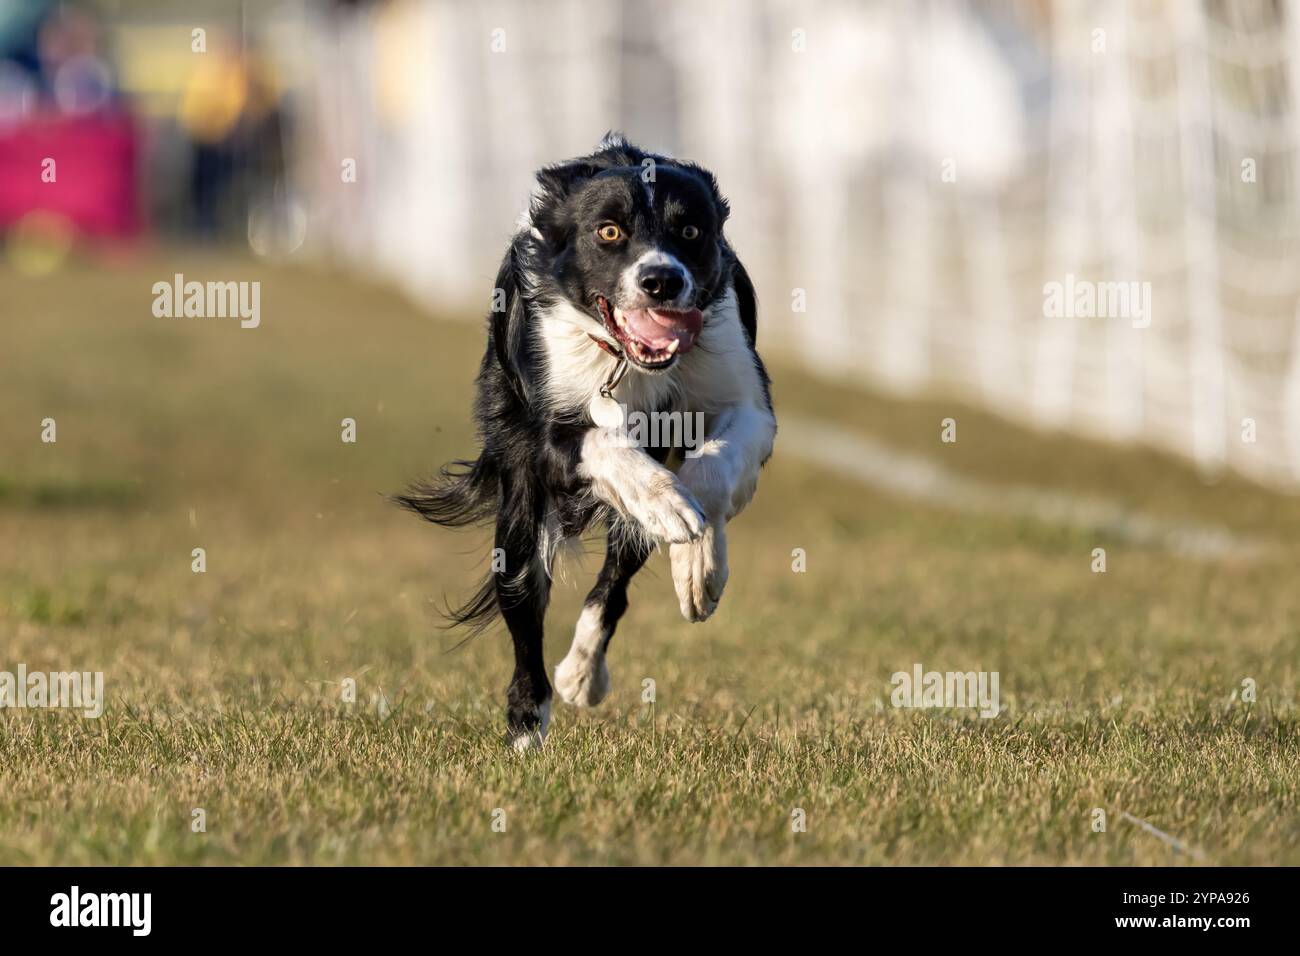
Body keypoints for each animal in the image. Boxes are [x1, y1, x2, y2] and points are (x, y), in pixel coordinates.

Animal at [397, 136, 769, 749]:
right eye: (609, 232)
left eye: (691, 231)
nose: (662, 280)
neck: (626, 361)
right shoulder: (539, 433)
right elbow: (599, 441)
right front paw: (671, 505)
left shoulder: (745, 395)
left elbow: (711, 475)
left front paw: (699, 564)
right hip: (518, 516)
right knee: (523, 605)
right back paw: (528, 723)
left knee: (613, 583)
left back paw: (582, 674)